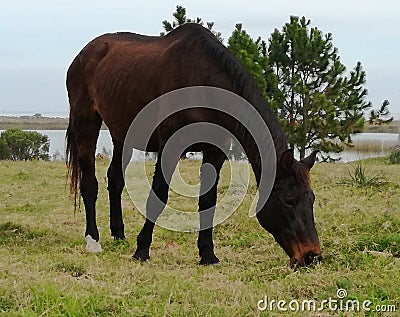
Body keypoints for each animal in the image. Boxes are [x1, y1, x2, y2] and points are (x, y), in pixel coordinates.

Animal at [66, 23, 322, 266]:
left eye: (311, 199)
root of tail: (83, 54)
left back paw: (119, 235)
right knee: (89, 184)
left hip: (122, 135)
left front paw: (208, 254)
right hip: (86, 122)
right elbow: (158, 197)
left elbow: (207, 201)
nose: (312, 256)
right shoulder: (169, 148)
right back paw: (93, 240)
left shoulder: (215, 152)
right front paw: (142, 250)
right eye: (288, 200)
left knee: (115, 180)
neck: (202, 83)